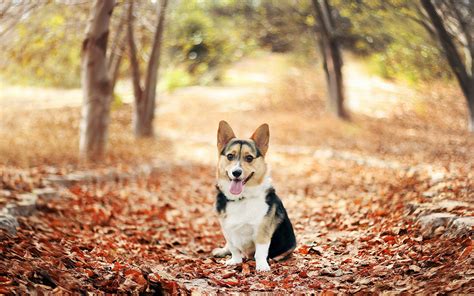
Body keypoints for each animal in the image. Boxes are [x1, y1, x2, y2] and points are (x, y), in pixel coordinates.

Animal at [212, 120, 294, 270]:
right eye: (230, 156)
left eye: (249, 158)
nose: (236, 172)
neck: (241, 198)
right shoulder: (227, 230)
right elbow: (233, 248)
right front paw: (235, 261)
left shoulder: (262, 231)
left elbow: (260, 251)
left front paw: (262, 266)